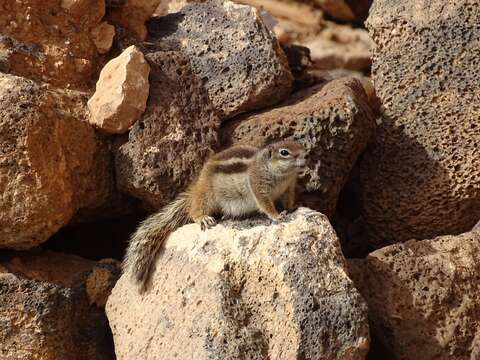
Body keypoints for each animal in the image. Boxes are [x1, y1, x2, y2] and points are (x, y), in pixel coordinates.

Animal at [122, 140, 306, 290]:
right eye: (284, 152)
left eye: (299, 144)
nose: (305, 158)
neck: (281, 176)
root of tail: (198, 185)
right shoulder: (258, 187)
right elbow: (265, 205)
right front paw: (277, 216)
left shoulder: (289, 186)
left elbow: (289, 199)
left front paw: (294, 206)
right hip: (207, 196)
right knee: (195, 209)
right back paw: (203, 218)